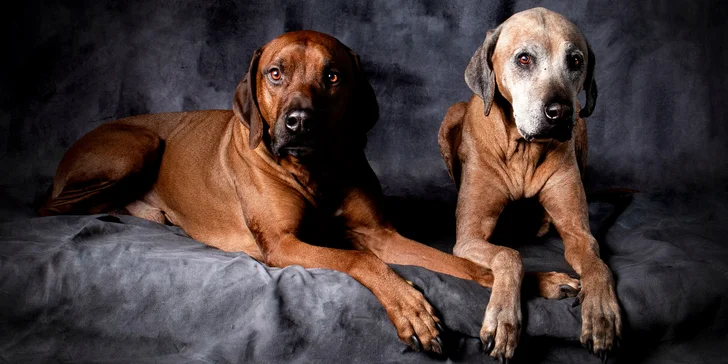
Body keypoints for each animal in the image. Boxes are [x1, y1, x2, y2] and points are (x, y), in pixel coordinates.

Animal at [438, 7, 620, 362]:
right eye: (524, 59)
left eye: (575, 61)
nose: (560, 112)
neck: (523, 150)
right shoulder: (468, 239)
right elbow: (510, 256)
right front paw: (503, 320)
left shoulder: (579, 232)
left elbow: (596, 261)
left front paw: (602, 313)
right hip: (450, 115)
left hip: (582, 128)